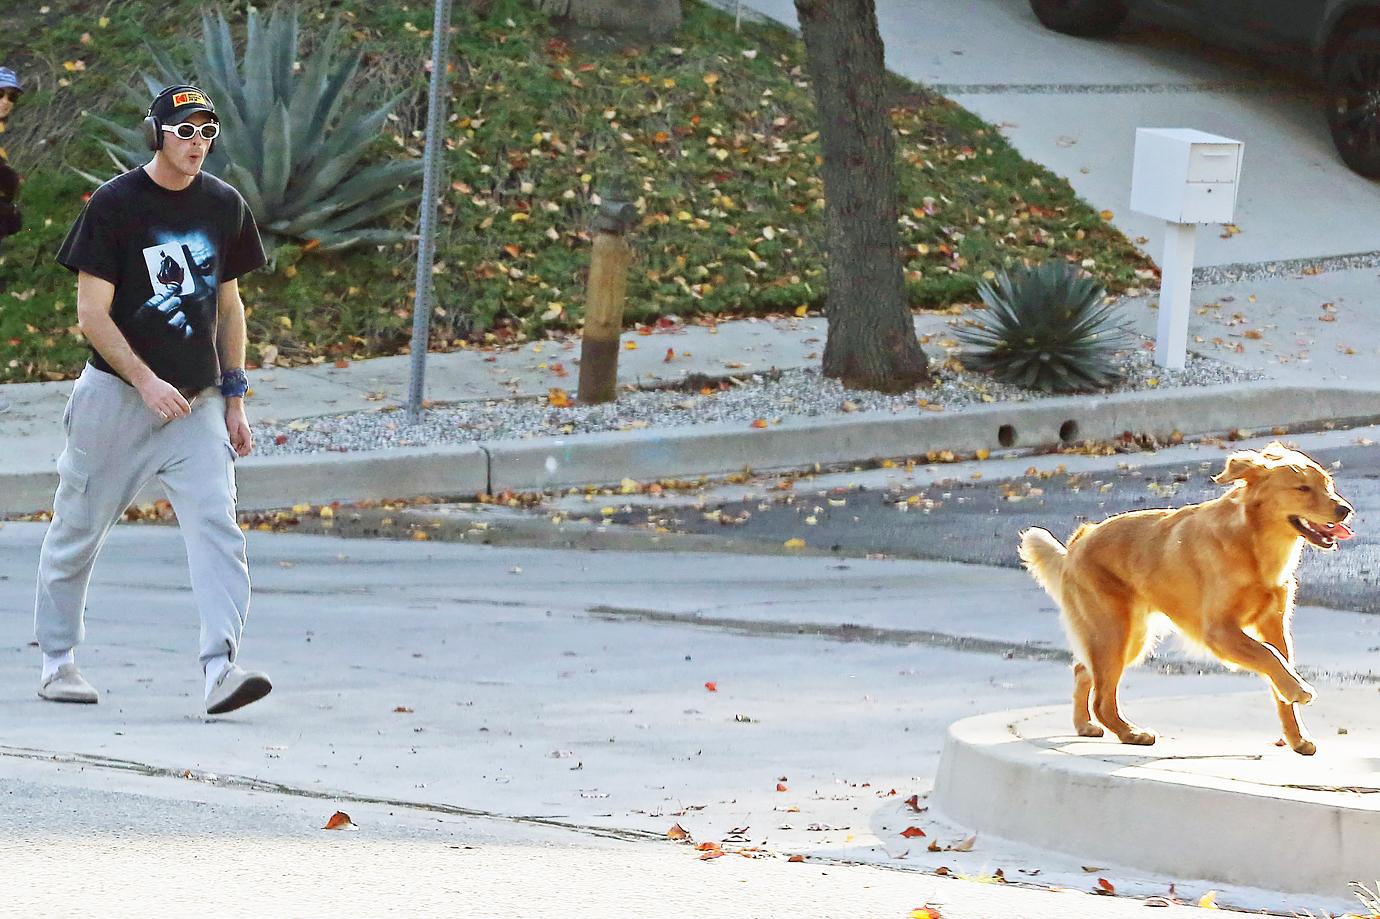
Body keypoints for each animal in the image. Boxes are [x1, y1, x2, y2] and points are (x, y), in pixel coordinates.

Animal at [1021, 441, 1352, 750]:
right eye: (1302, 488)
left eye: (1328, 484)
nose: (1345, 509)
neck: (1252, 543)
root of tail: (1077, 544)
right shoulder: (1219, 632)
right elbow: (1268, 656)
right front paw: (1298, 690)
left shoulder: (1275, 625)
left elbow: (1279, 672)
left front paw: (1296, 736)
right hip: (1115, 632)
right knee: (1102, 699)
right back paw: (1131, 734)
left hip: (1128, 636)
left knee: (1082, 670)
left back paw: (1085, 724)